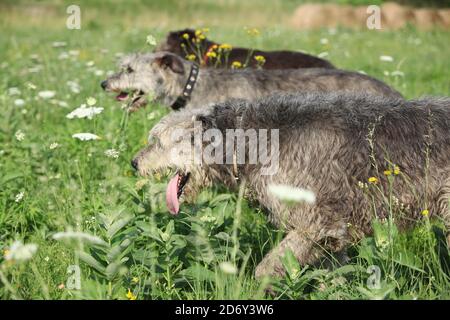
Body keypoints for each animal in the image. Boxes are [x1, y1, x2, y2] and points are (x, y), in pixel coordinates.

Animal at [133, 92, 450, 278]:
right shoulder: (332, 232)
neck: (250, 143)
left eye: (158, 141)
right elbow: (333, 270)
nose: (134, 163)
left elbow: (266, 269)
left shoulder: (316, 224)